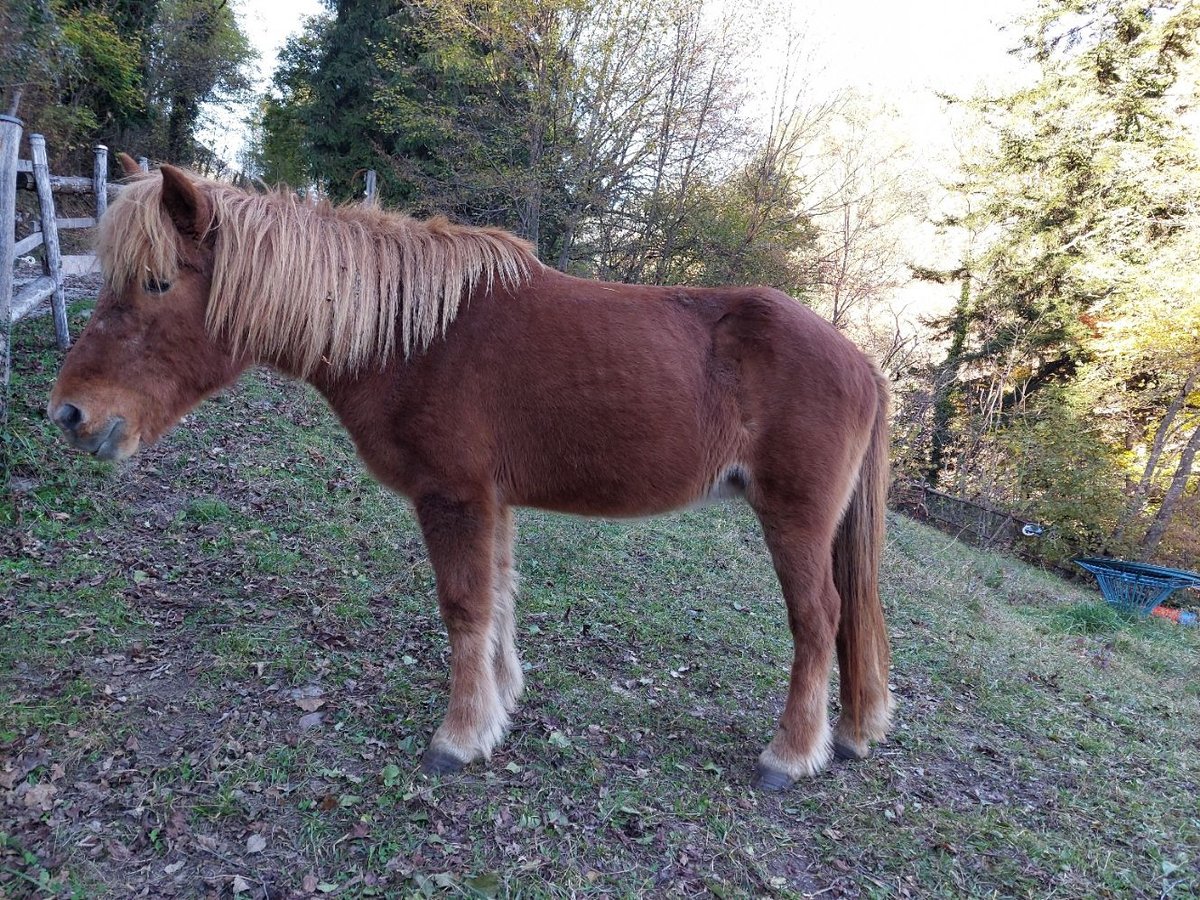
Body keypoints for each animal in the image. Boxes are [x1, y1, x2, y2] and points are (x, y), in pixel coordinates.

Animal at [49, 160, 892, 787]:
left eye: (158, 283)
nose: (69, 414)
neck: (413, 336)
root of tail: (864, 363)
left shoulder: (452, 497)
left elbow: (462, 608)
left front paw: (457, 737)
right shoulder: (494, 502)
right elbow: (497, 603)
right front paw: (496, 708)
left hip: (795, 520)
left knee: (819, 620)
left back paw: (790, 756)